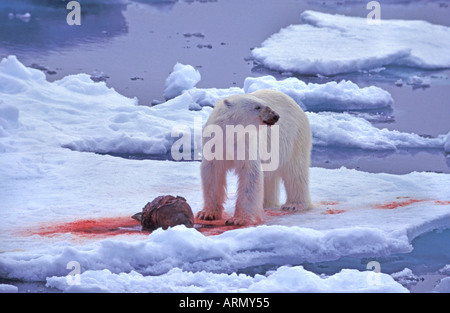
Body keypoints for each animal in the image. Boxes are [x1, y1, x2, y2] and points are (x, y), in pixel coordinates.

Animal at [197, 88, 312, 224]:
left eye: (267, 105)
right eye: (257, 107)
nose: (276, 116)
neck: (229, 134)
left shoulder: (246, 142)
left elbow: (250, 174)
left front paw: (238, 219)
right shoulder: (215, 143)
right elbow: (212, 173)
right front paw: (207, 214)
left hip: (295, 137)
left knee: (295, 171)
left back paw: (293, 205)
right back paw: (265, 204)